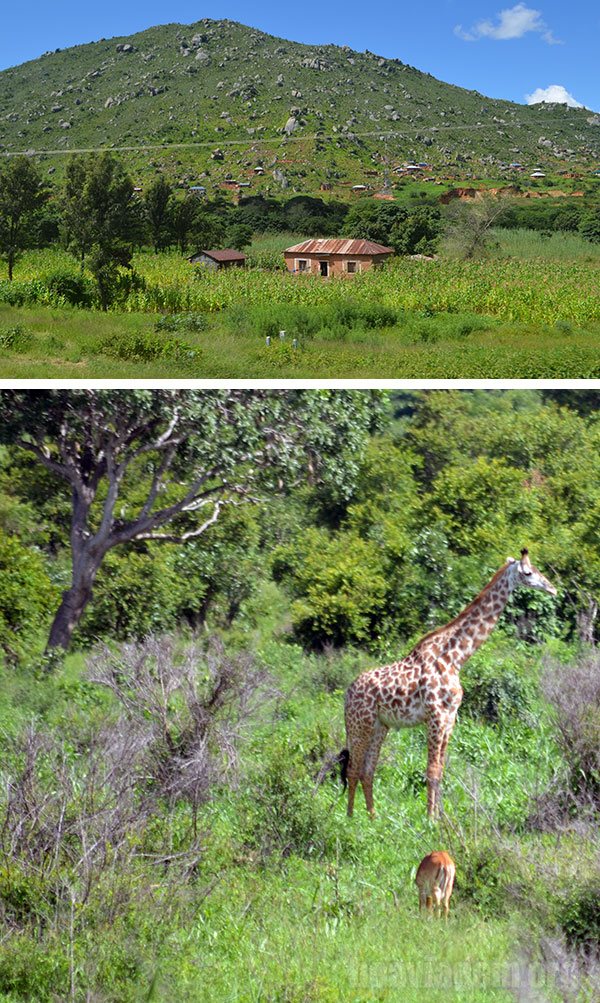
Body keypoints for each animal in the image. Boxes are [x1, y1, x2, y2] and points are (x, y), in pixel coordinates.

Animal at [343, 553, 557, 818]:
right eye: (528, 572)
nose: (552, 588)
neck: (456, 658)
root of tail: (347, 693)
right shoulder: (435, 714)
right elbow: (432, 770)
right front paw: (430, 819)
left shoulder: (450, 716)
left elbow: (441, 770)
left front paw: (440, 817)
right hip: (359, 724)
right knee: (353, 769)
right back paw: (350, 819)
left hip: (379, 726)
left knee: (367, 770)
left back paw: (373, 818)